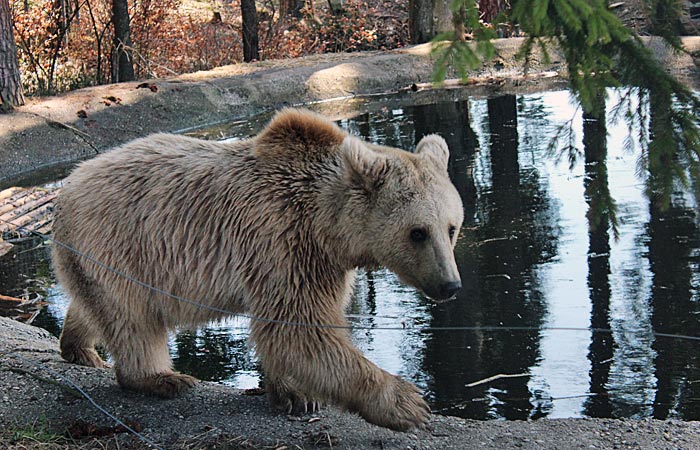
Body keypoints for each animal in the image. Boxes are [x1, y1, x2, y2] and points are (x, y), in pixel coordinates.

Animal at [53, 108, 464, 431]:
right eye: (417, 232)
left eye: (451, 227)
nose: (450, 284)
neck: (329, 223)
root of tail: (68, 183)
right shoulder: (283, 238)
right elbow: (297, 327)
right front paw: (407, 403)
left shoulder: (322, 259)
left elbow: (295, 329)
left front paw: (296, 393)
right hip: (120, 244)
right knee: (134, 318)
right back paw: (163, 378)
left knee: (97, 304)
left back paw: (79, 346)